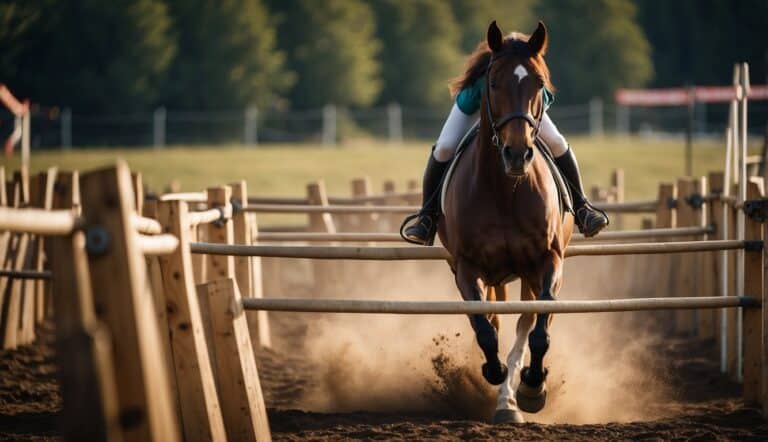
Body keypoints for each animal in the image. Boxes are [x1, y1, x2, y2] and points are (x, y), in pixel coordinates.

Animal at [436, 21, 572, 424]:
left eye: (539, 84)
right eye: (493, 83)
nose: (517, 153)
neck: (505, 189)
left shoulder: (548, 261)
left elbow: (539, 329)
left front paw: (532, 387)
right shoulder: (467, 267)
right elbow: (485, 328)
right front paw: (494, 372)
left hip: (529, 275)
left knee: (526, 324)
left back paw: (513, 397)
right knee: (496, 320)